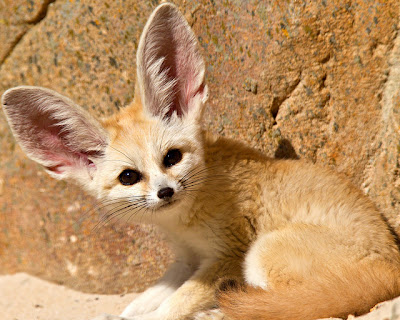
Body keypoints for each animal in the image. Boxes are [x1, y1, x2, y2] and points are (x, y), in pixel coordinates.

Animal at [2, 2, 400, 320]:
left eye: (172, 157)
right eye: (129, 177)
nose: (165, 192)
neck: (184, 222)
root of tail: (392, 266)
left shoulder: (227, 254)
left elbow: (171, 306)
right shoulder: (186, 258)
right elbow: (147, 297)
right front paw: (119, 314)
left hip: (262, 252)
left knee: (293, 304)